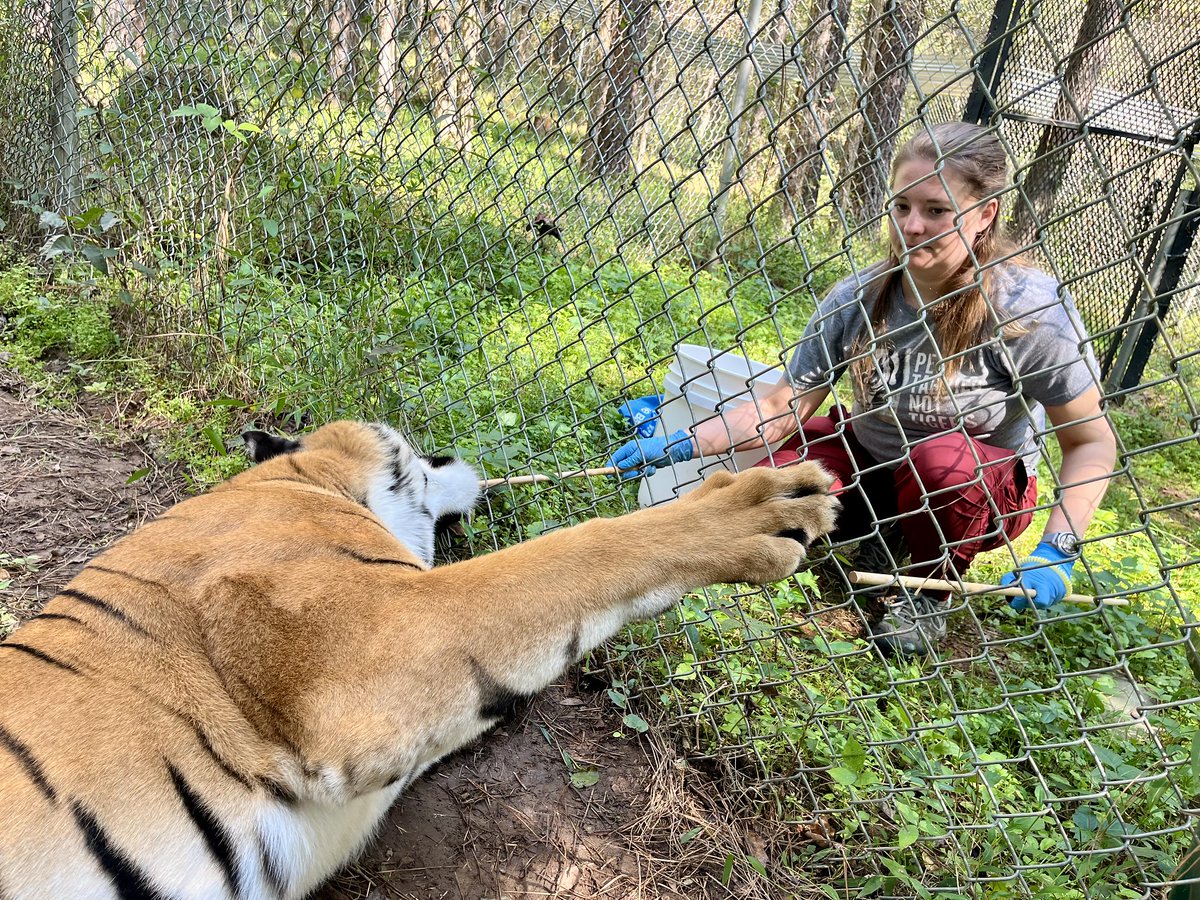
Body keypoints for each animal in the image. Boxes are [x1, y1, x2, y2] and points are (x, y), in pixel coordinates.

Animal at [0, 419, 838, 900]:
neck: (301, 481)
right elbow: (572, 555)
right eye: (421, 455)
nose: (452, 451)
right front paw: (756, 504)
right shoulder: (377, 648)